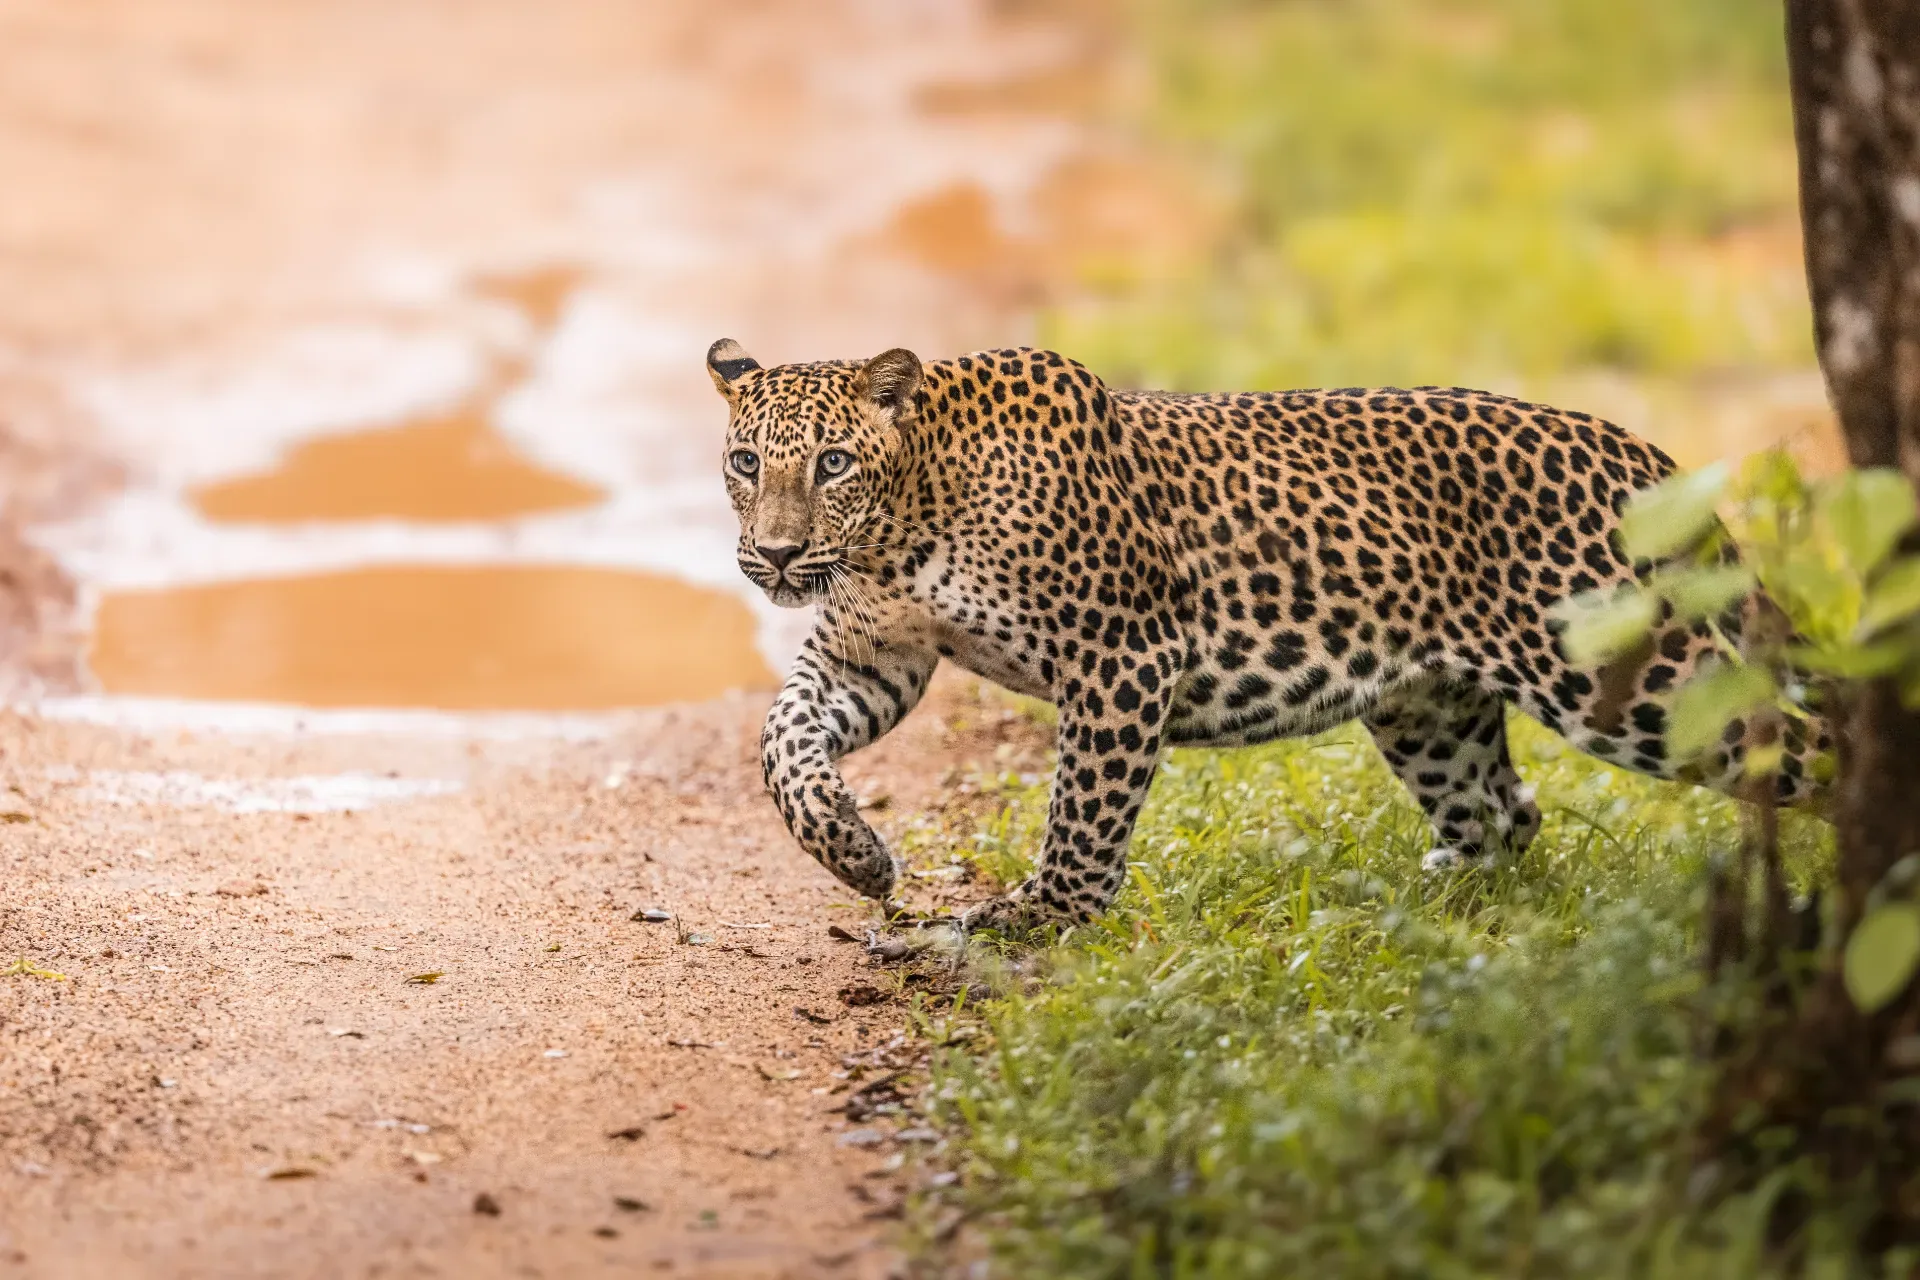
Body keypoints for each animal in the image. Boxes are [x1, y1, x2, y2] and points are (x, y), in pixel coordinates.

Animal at [708, 339, 1828, 931]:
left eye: (834, 462)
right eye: (744, 462)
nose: (774, 555)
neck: (901, 526)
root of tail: (1648, 458)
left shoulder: (1123, 658)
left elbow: (1083, 809)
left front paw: (1047, 917)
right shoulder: (872, 657)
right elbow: (780, 741)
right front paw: (854, 852)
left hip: (1641, 682)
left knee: (1804, 740)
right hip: (1430, 710)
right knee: (1504, 815)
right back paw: (1414, 911)